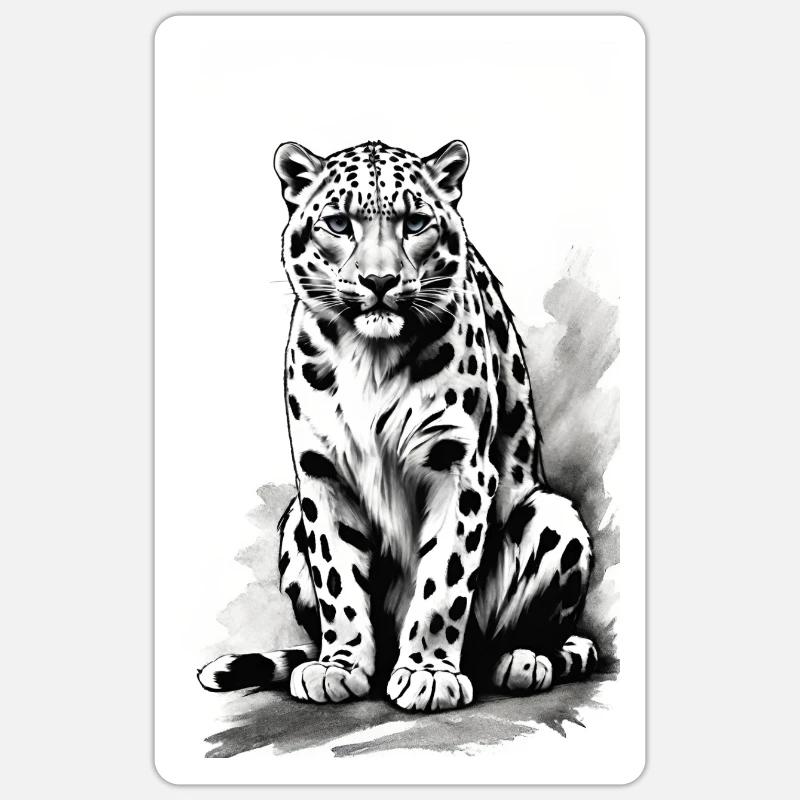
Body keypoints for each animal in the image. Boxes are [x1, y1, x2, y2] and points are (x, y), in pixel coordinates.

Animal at [198, 139, 598, 712]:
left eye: (414, 222)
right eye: (338, 223)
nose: (380, 281)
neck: (371, 359)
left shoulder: (461, 465)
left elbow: (444, 580)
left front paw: (428, 673)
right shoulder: (321, 473)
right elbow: (337, 576)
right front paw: (341, 667)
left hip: (553, 517)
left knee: (531, 632)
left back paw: (521, 660)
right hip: (292, 519)